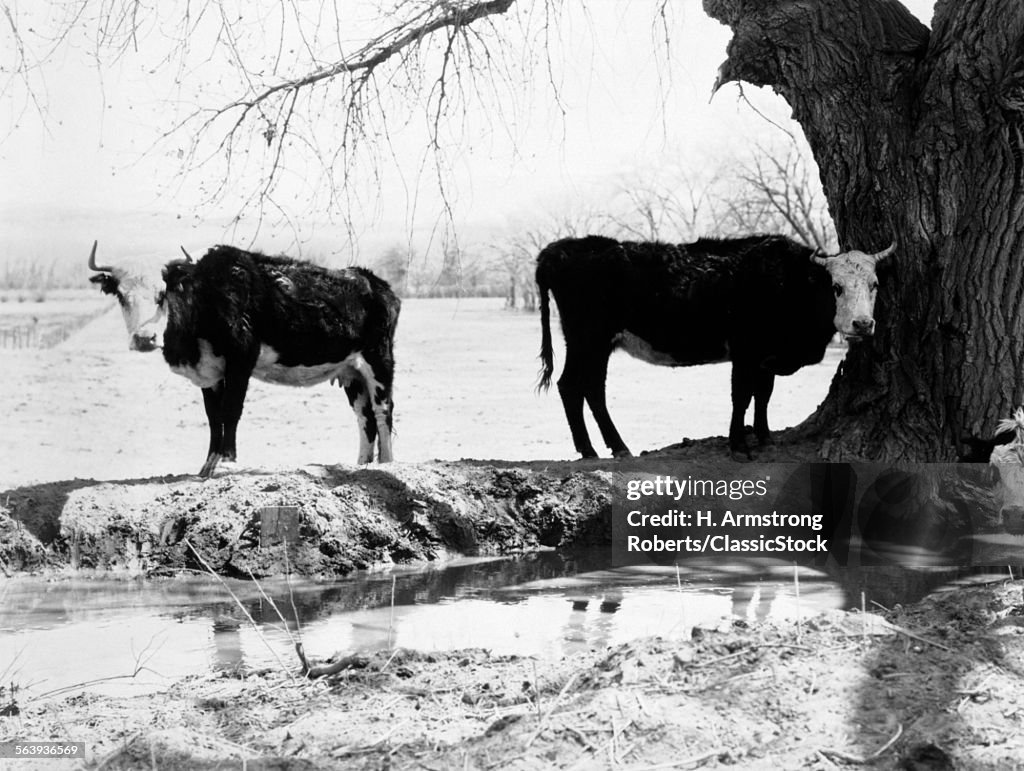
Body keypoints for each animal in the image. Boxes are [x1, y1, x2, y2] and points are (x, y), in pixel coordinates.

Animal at [86, 243, 397, 479]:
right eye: (121, 296)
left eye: (162, 294)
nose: (144, 338)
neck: (206, 296)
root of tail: (373, 281)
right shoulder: (209, 373)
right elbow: (213, 417)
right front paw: (208, 465)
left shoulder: (241, 360)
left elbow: (231, 411)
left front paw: (228, 462)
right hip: (351, 372)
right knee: (364, 416)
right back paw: (361, 465)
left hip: (379, 360)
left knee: (383, 410)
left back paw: (386, 464)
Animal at [532, 233, 892, 456]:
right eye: (836, 287)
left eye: (874, 284)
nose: (863, 324)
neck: (786, 281)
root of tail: (558, 249)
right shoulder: (745, 352)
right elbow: (741, 397)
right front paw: (739, 446)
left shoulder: (765, 357)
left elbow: (763, 395)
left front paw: (764, 437)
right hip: (586, 339)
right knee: (574, 386)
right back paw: (595, 449)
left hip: (595, 344)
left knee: (588, 388)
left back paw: (610, 447)